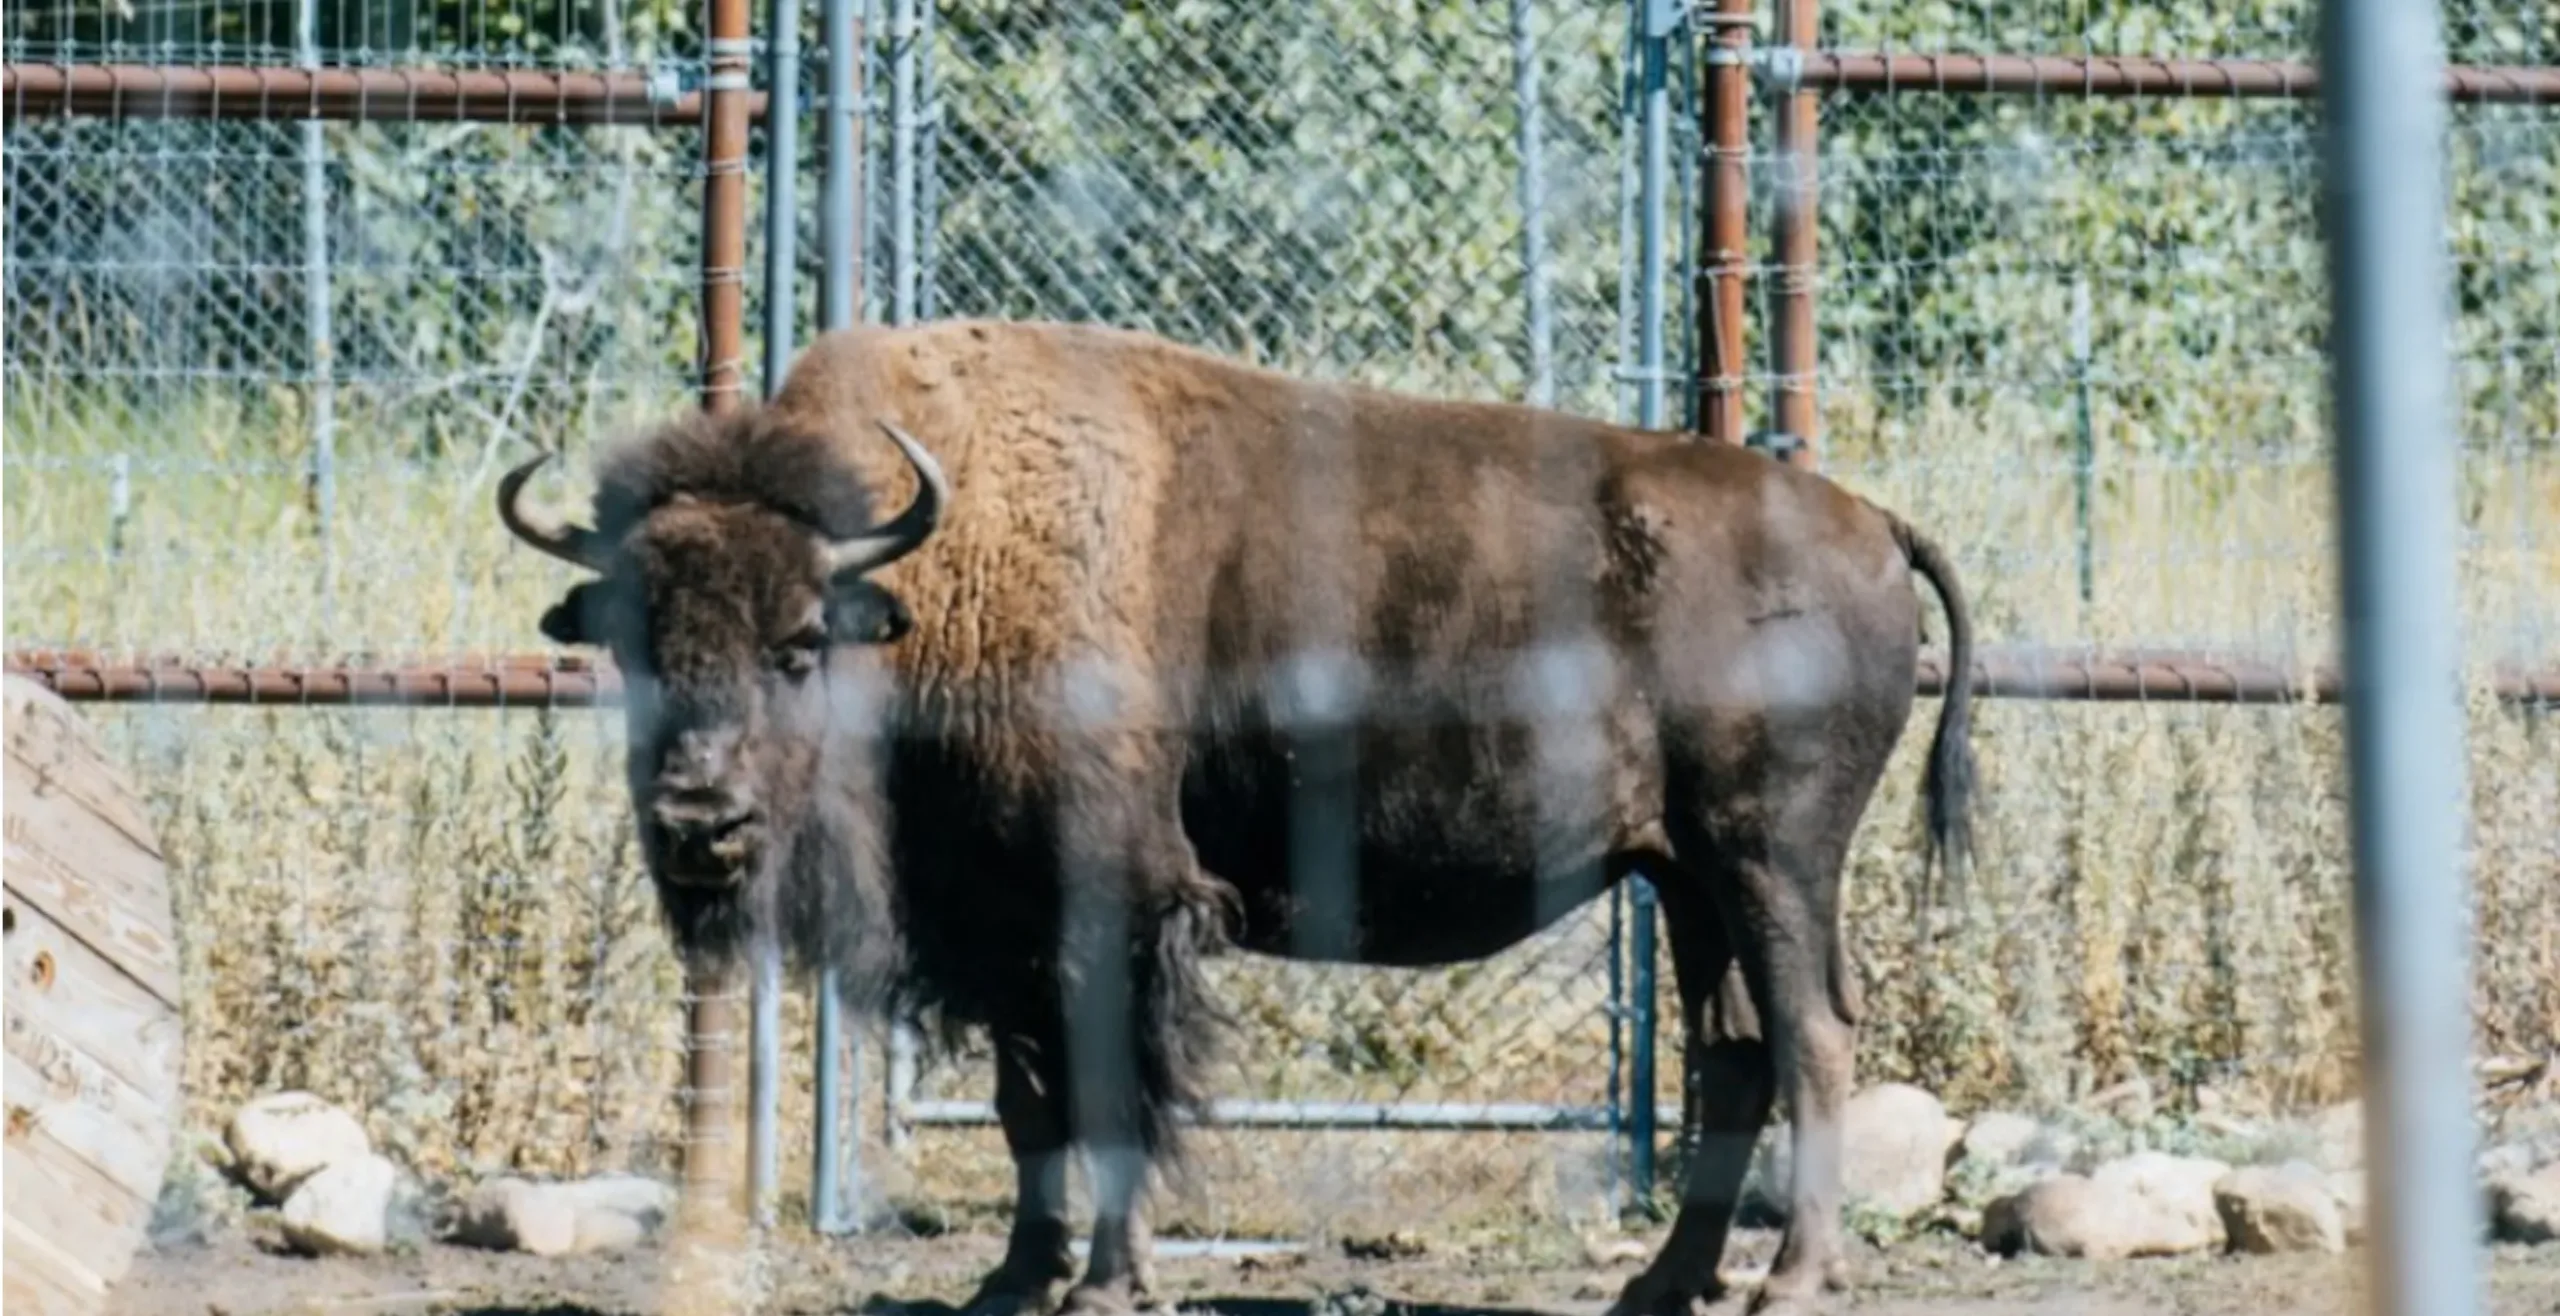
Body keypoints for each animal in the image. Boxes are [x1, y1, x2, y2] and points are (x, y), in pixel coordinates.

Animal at [499, 317, 1976, 1310]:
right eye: (632, 643)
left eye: (800, 641)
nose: (700, 817)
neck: (931, 581)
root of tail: (1869, 520)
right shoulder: (1000, 926)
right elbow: (1032, 1106)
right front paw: (1013, 1281)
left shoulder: (1110, 902)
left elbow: (1111, 1094)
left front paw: (1107, 1281)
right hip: (1684, 881)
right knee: (1735, 1052)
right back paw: (1659, 1287)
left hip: (1771, 861)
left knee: (1813, 1034)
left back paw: (1792, 1279)